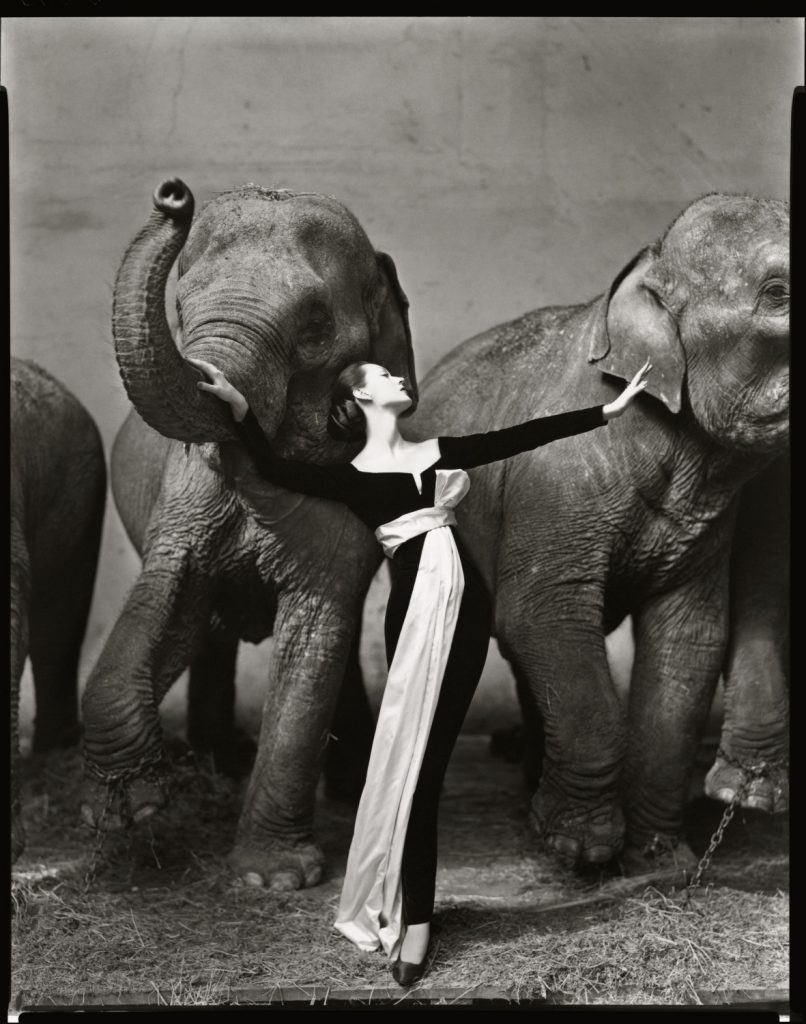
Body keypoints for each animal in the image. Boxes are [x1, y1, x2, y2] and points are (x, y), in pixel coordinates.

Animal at [79, 176, 419, 888]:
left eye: (315, 324)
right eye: (180, 306)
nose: (173, 195)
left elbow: (317, 629)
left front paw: (271, 879)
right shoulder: (183, 496)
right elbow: (167, 594)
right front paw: (127, 810)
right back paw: (219, 762)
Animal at [409, 195, 786, 876]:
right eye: (778, 293)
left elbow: (689, 637)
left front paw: (660, 861)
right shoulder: (555, 482)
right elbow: (542, 614)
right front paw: (578, 850)